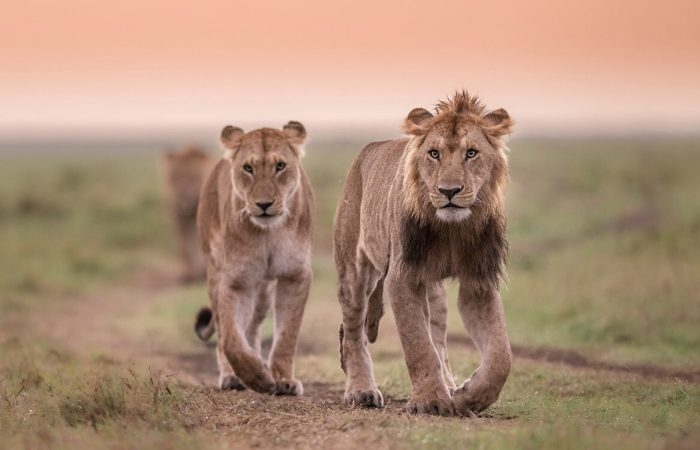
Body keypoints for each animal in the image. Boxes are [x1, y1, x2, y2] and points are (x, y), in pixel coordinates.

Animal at [164, 145, 213, 283]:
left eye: (192, 177)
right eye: (174, 178)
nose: (182, 198)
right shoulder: (181, 219)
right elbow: (185, 247)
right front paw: (189, 274)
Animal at [194, 122, 314, 395]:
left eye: (280, 166)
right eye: (248, 168)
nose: (264, 204)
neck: (269, 233)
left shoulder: (295, 275)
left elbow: (287, 334)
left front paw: (283, 380)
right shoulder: (236, 280)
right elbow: (230, 339)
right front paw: (257, 377)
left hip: (262, 290)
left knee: (252, 326)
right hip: (216, 272)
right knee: (224, 330)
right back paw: (232, 377)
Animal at [334, 91, 514, 416]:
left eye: (471, 153)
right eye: (434, 154)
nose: (449, 191)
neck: (451, 230)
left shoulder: (478, 282)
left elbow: (500, 356)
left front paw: (469, 396)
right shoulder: (403, 276)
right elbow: (418, 343)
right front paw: (430, 400)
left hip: (434, 290)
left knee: (439, 337)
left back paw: (451, 386)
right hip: (353, 270)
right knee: (353, 332)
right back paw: (361, 391)